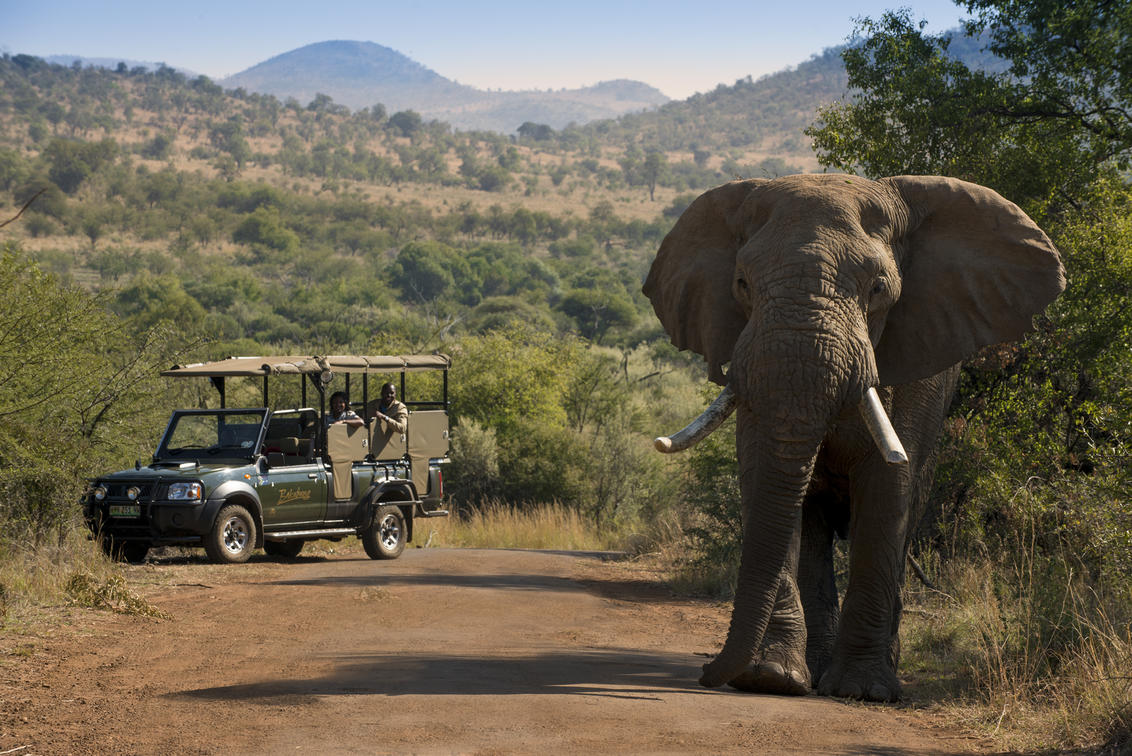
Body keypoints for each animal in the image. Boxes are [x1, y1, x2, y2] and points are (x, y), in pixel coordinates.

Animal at [642, 174, 1064, 701]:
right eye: (742, 284)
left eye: (877, 287)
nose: (705, 673)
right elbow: (764, 477)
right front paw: (769, 678)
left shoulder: (915, 370)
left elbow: (887, 487)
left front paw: (862, 690)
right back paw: (809, 671)